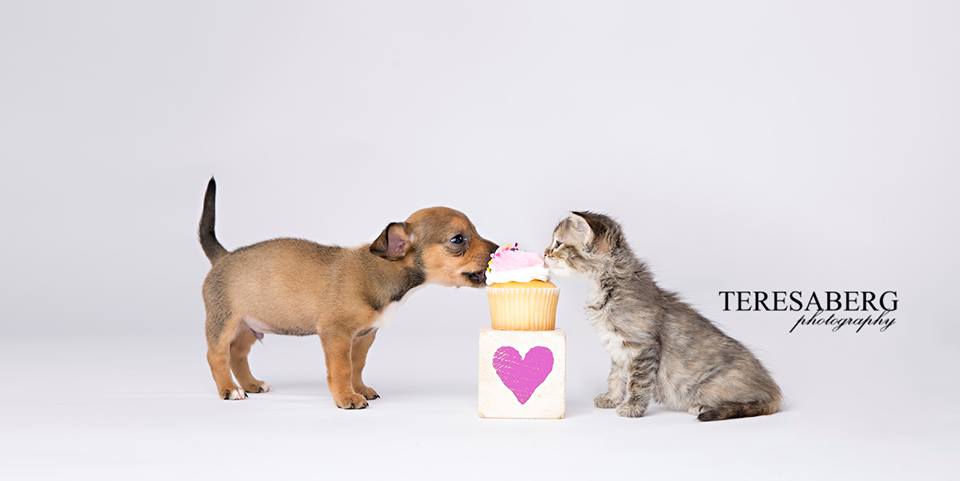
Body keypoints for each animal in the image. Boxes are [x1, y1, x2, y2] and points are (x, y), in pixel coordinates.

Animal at [198, 178, 497, 408]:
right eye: (458, 239)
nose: (499, 249)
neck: (383, 271)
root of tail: (223, 257)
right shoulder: (337, 335)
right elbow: (341, 368)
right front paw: (346, 398)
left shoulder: (363, 337)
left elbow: (356, 365)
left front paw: (359, 388)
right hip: (224, 323)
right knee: (217, 356)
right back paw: (229, 390)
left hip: (248, 327)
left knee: (237, 355)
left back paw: (250, 384)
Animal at [544, 212, 781, 421]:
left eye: (558, 244)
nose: (545, 253)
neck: (606, 286)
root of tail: (774, 389)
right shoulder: (618, 351)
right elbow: (615, 377)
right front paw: (611, 399)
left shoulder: (641, 347)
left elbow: (637, 383)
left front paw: (632, 408)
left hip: (712, 385)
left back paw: (703, 407)